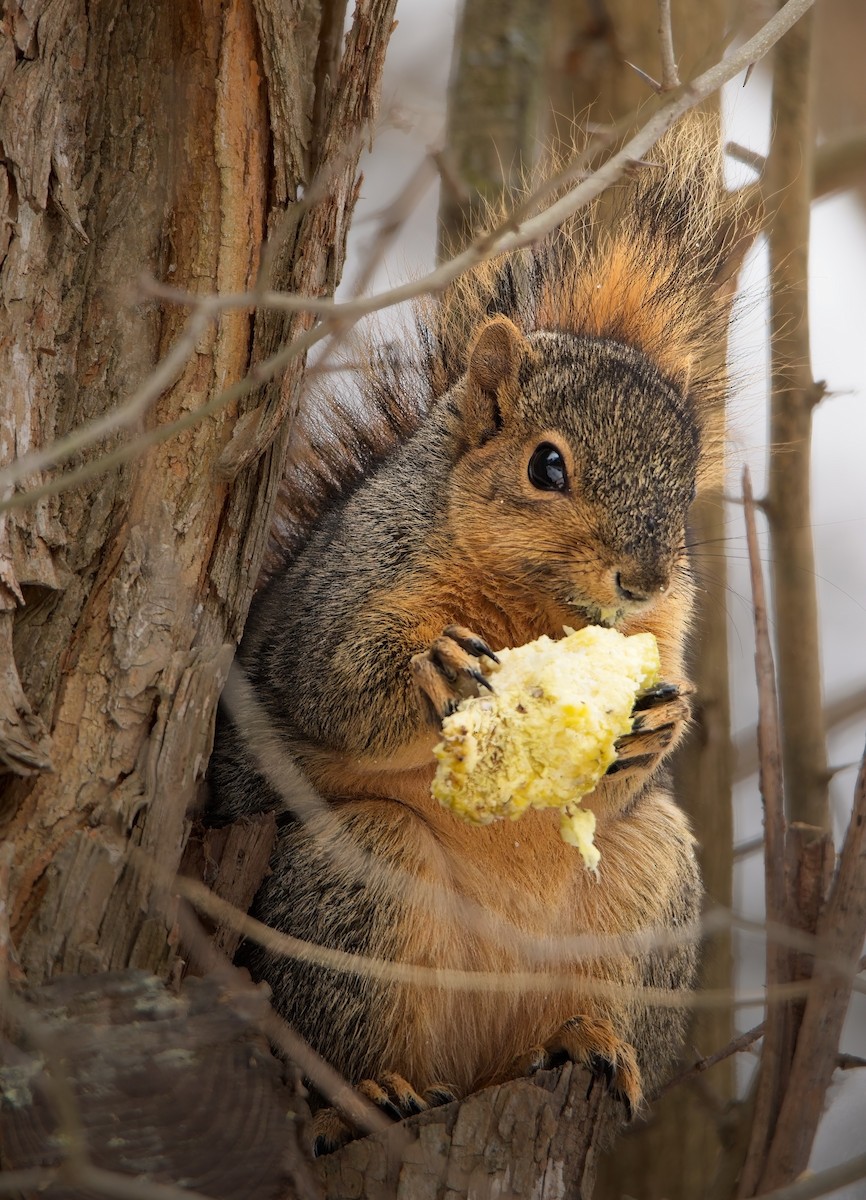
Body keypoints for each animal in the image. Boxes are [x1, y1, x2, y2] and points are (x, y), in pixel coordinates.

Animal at [207, 118, 756, 1152]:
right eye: (547, 466)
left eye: (682, 489)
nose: (644, 579)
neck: (536, 608)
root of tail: (469, 1064)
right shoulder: (342, 591)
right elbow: (327, 682)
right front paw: (443, 672)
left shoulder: (668, 630)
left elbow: (631, 766)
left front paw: (660, 725)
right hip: (359, 878)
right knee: (346, 1041)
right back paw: (373, 1091)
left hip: (650, 888)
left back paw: (593, 1046)